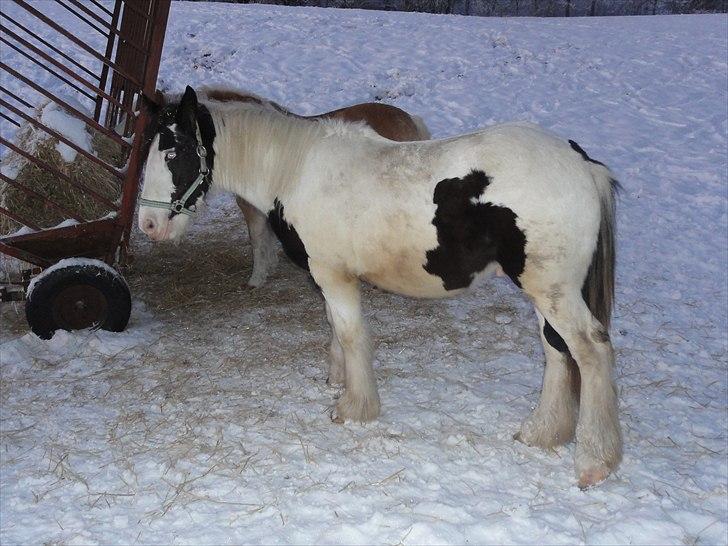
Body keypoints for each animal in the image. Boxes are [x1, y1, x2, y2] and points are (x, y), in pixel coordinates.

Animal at [139, 87, 624, 486]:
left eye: (172, 154)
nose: (149, 225)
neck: (295, 171)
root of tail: (582, 164)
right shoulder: (329, 275)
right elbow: (335, 328)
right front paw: (339, 381)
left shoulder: (332, 275)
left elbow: (352, 334)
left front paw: (355, 408)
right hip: (546, 291)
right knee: (556, 351)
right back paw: (543, 433)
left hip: (554, 292)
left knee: (590, 351)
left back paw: (594, 461)